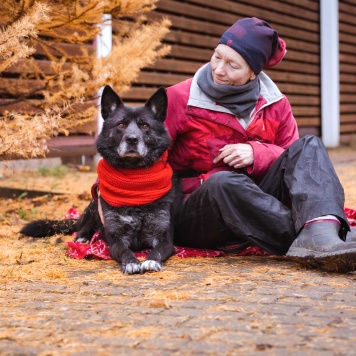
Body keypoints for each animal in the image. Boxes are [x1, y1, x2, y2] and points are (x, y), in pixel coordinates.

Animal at [19, 85, 175, 276]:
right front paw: (131, 262)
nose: (132, 139)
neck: (135, 181)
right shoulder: (116, 239)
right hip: (94, 205)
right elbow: (125, 251)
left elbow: (157, 250)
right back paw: (82, 238)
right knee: (84, 226)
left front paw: (150, 261)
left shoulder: (164, 238)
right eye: (121, 124)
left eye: (145, 125)